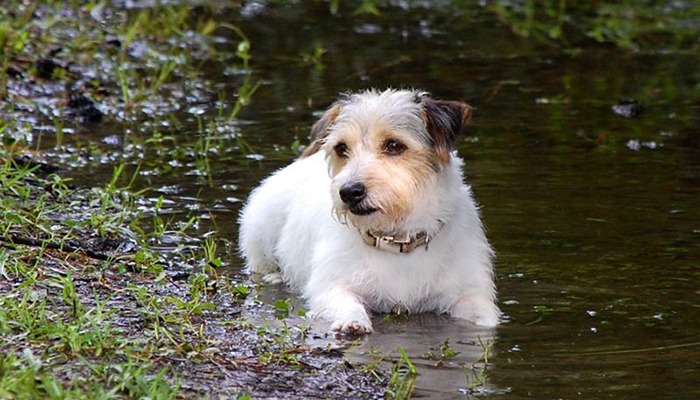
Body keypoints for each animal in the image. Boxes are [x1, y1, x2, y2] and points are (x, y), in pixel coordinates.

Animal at [238, 89, 500, 332]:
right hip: (260, 232)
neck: (396, 240)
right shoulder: (330, 287)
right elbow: (344, 301)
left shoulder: (470, 293)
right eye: (341, 148)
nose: (349, 192)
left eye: (394, 145)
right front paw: (352, 321)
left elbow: (484, 315)